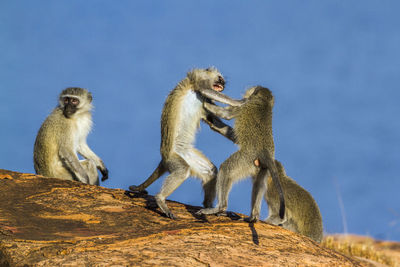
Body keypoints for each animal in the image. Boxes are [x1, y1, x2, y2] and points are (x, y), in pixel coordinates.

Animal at [130, 67, 242, 220]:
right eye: (220, 79)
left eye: (223, 81)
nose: (222, 85)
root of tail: (163, 158)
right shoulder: (200, 79)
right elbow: (205, 89)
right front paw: (241, 102)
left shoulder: (206, 102)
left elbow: (214, 123)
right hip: (173, 158)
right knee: (182, 170)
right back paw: (160, 199)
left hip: (187, 155)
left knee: (210, 171)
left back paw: (210, 208)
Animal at [197, 87, 284, 223]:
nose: (246, 94)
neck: (264, 102)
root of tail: (265, 153)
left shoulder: (244, 105)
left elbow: (226, 114)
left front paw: (206, 101)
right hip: (261, 167)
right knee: (259, 183)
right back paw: (253, 216)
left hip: (245, 159)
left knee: (226, 169)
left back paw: (220, 207)